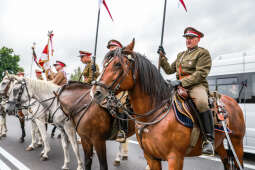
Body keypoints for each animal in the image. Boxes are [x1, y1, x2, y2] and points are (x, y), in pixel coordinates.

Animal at [90, 40, 246, 170]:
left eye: (117, 64)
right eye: (105, 65)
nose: (95, 92)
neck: (154, 113)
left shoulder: (175, 158)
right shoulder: (151, 157)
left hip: (237, 143)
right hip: (220, 144)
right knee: (226, 161)